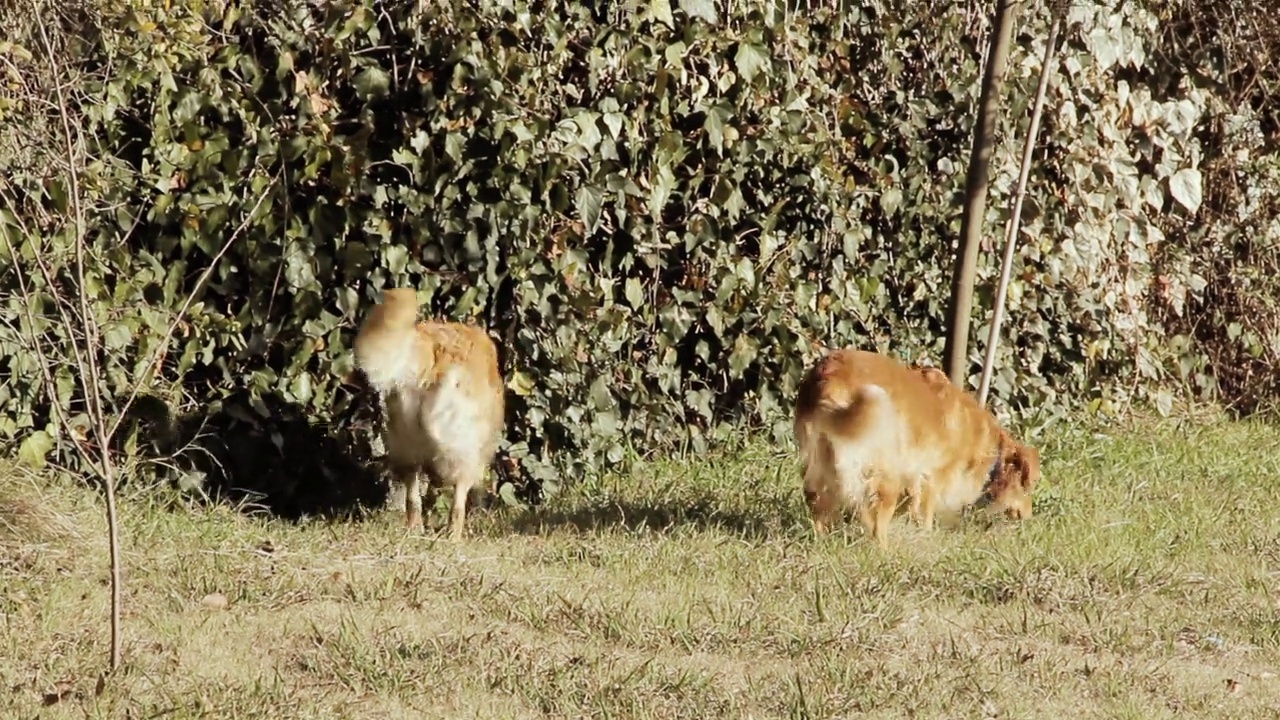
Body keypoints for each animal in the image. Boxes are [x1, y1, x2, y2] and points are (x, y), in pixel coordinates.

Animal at [355, 285, 509, 538]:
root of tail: (434, 352)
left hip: (404, 439)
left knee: (412, 493)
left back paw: (414, 529)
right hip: (462, 447)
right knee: (457, 499)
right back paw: (453, 536)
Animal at [788, 348, 1039, 543]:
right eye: (1026, 487)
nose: (1029, 517)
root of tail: (828, 376)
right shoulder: (932, 477)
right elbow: (925, 514)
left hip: (819, 462)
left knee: (819, 501)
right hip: (884, 473)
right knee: (874, 519)